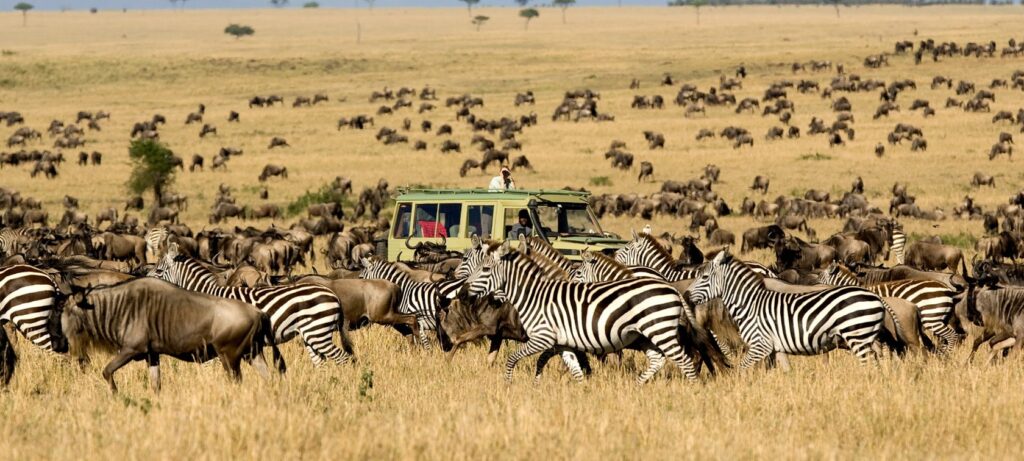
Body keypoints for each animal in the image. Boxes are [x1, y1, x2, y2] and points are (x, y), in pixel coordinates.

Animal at [149, 242, 354, 364]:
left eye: (159, 271)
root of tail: (332, 294)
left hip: (318, 332)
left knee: (343, 358)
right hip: (311, 334)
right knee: (322, 363)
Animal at [466, 241, 700, 385]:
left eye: (485, 269)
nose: (464, 290)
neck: (533, 296)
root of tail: (671, 288)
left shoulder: (542, 337)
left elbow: (512, 358)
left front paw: (508, 384)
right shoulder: (562, 343)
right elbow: (572, 369)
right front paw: (581, 391)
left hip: (659, 329)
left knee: (685, 361)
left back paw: (693, 390)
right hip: (645, 335)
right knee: (658, 360)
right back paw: (636, 386)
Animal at [688, 249, 897, 368]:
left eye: (704, 277)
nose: (687, 295)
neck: (750, 304)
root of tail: (875, 296)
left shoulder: (760, 344)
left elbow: (742, 368)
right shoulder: (775, 347)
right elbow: (783, 371)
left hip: (857, 336)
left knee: (870, 364)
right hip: (866, 337)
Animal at [815, 262, 958, 352]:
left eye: (820, 276)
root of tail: (948, 290)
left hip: (931, 317)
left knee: (952, 336)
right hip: (942, 318)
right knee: (945, 340)